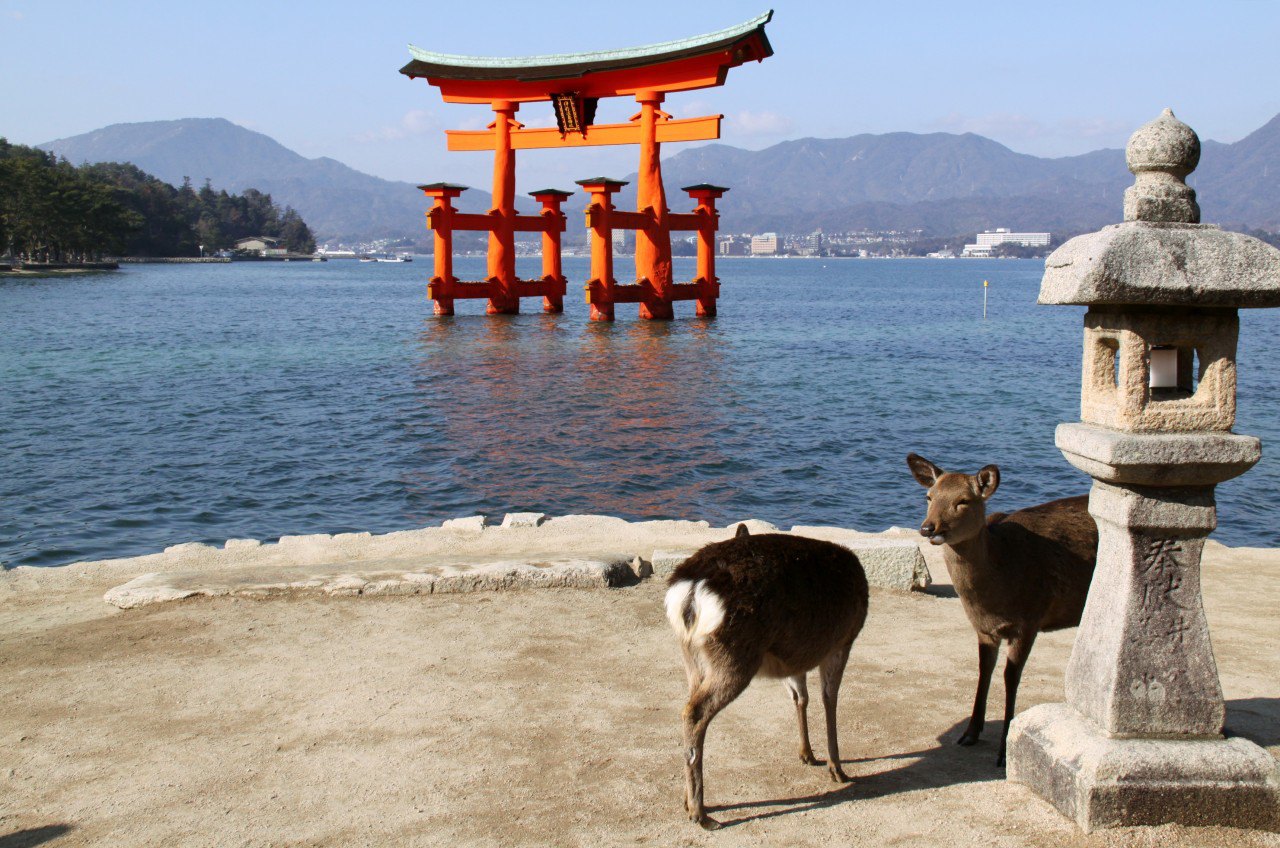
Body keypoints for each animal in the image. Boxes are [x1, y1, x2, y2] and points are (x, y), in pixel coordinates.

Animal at [660, 525, 870, 830]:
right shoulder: (842, 641)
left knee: (689, 703)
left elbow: (800, 697)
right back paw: (701, 813)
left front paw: (807, 754)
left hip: (692, 656)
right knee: (694, 712)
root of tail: (690, 590)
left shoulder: (794, 658)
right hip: (736, 655)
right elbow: (829, 699)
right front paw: (838, 769)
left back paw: (688, 802)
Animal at [901, 458, 1100, 768]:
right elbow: (984, 670)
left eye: (963, 501)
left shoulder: (1029, 620)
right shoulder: (983, 628)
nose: (928, 528)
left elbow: (1010, 677)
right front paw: (970, 733)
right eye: (929, 497)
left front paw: (1004, 751)